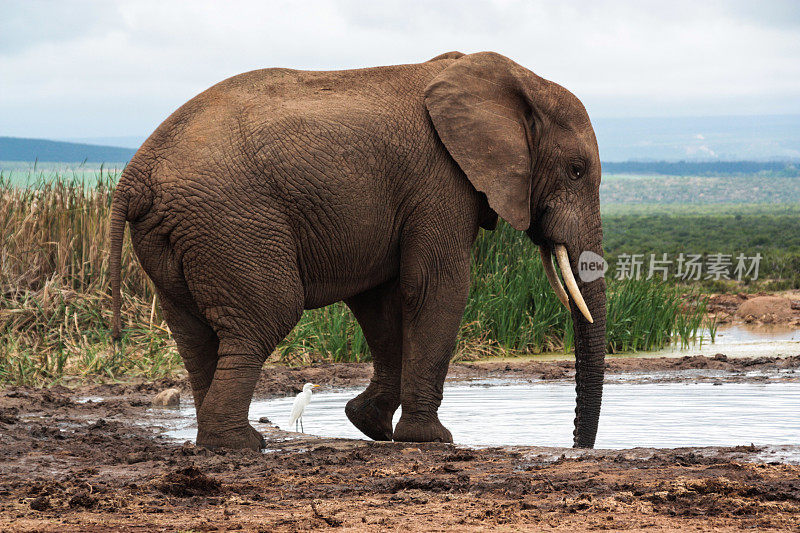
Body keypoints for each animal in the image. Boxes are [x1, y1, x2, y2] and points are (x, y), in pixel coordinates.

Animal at [108, 50, 608, 448]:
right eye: (577, 170)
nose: (578, 447)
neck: (517, 81)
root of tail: (135, 176)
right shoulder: (440, 180)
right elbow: (438, 287)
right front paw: (431, 439)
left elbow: (382, 303)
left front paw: (370, 426)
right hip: (232, 219)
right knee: (265, 316)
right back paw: (240, 444)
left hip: (176, 236)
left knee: (193, 333)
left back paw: (217, 440)